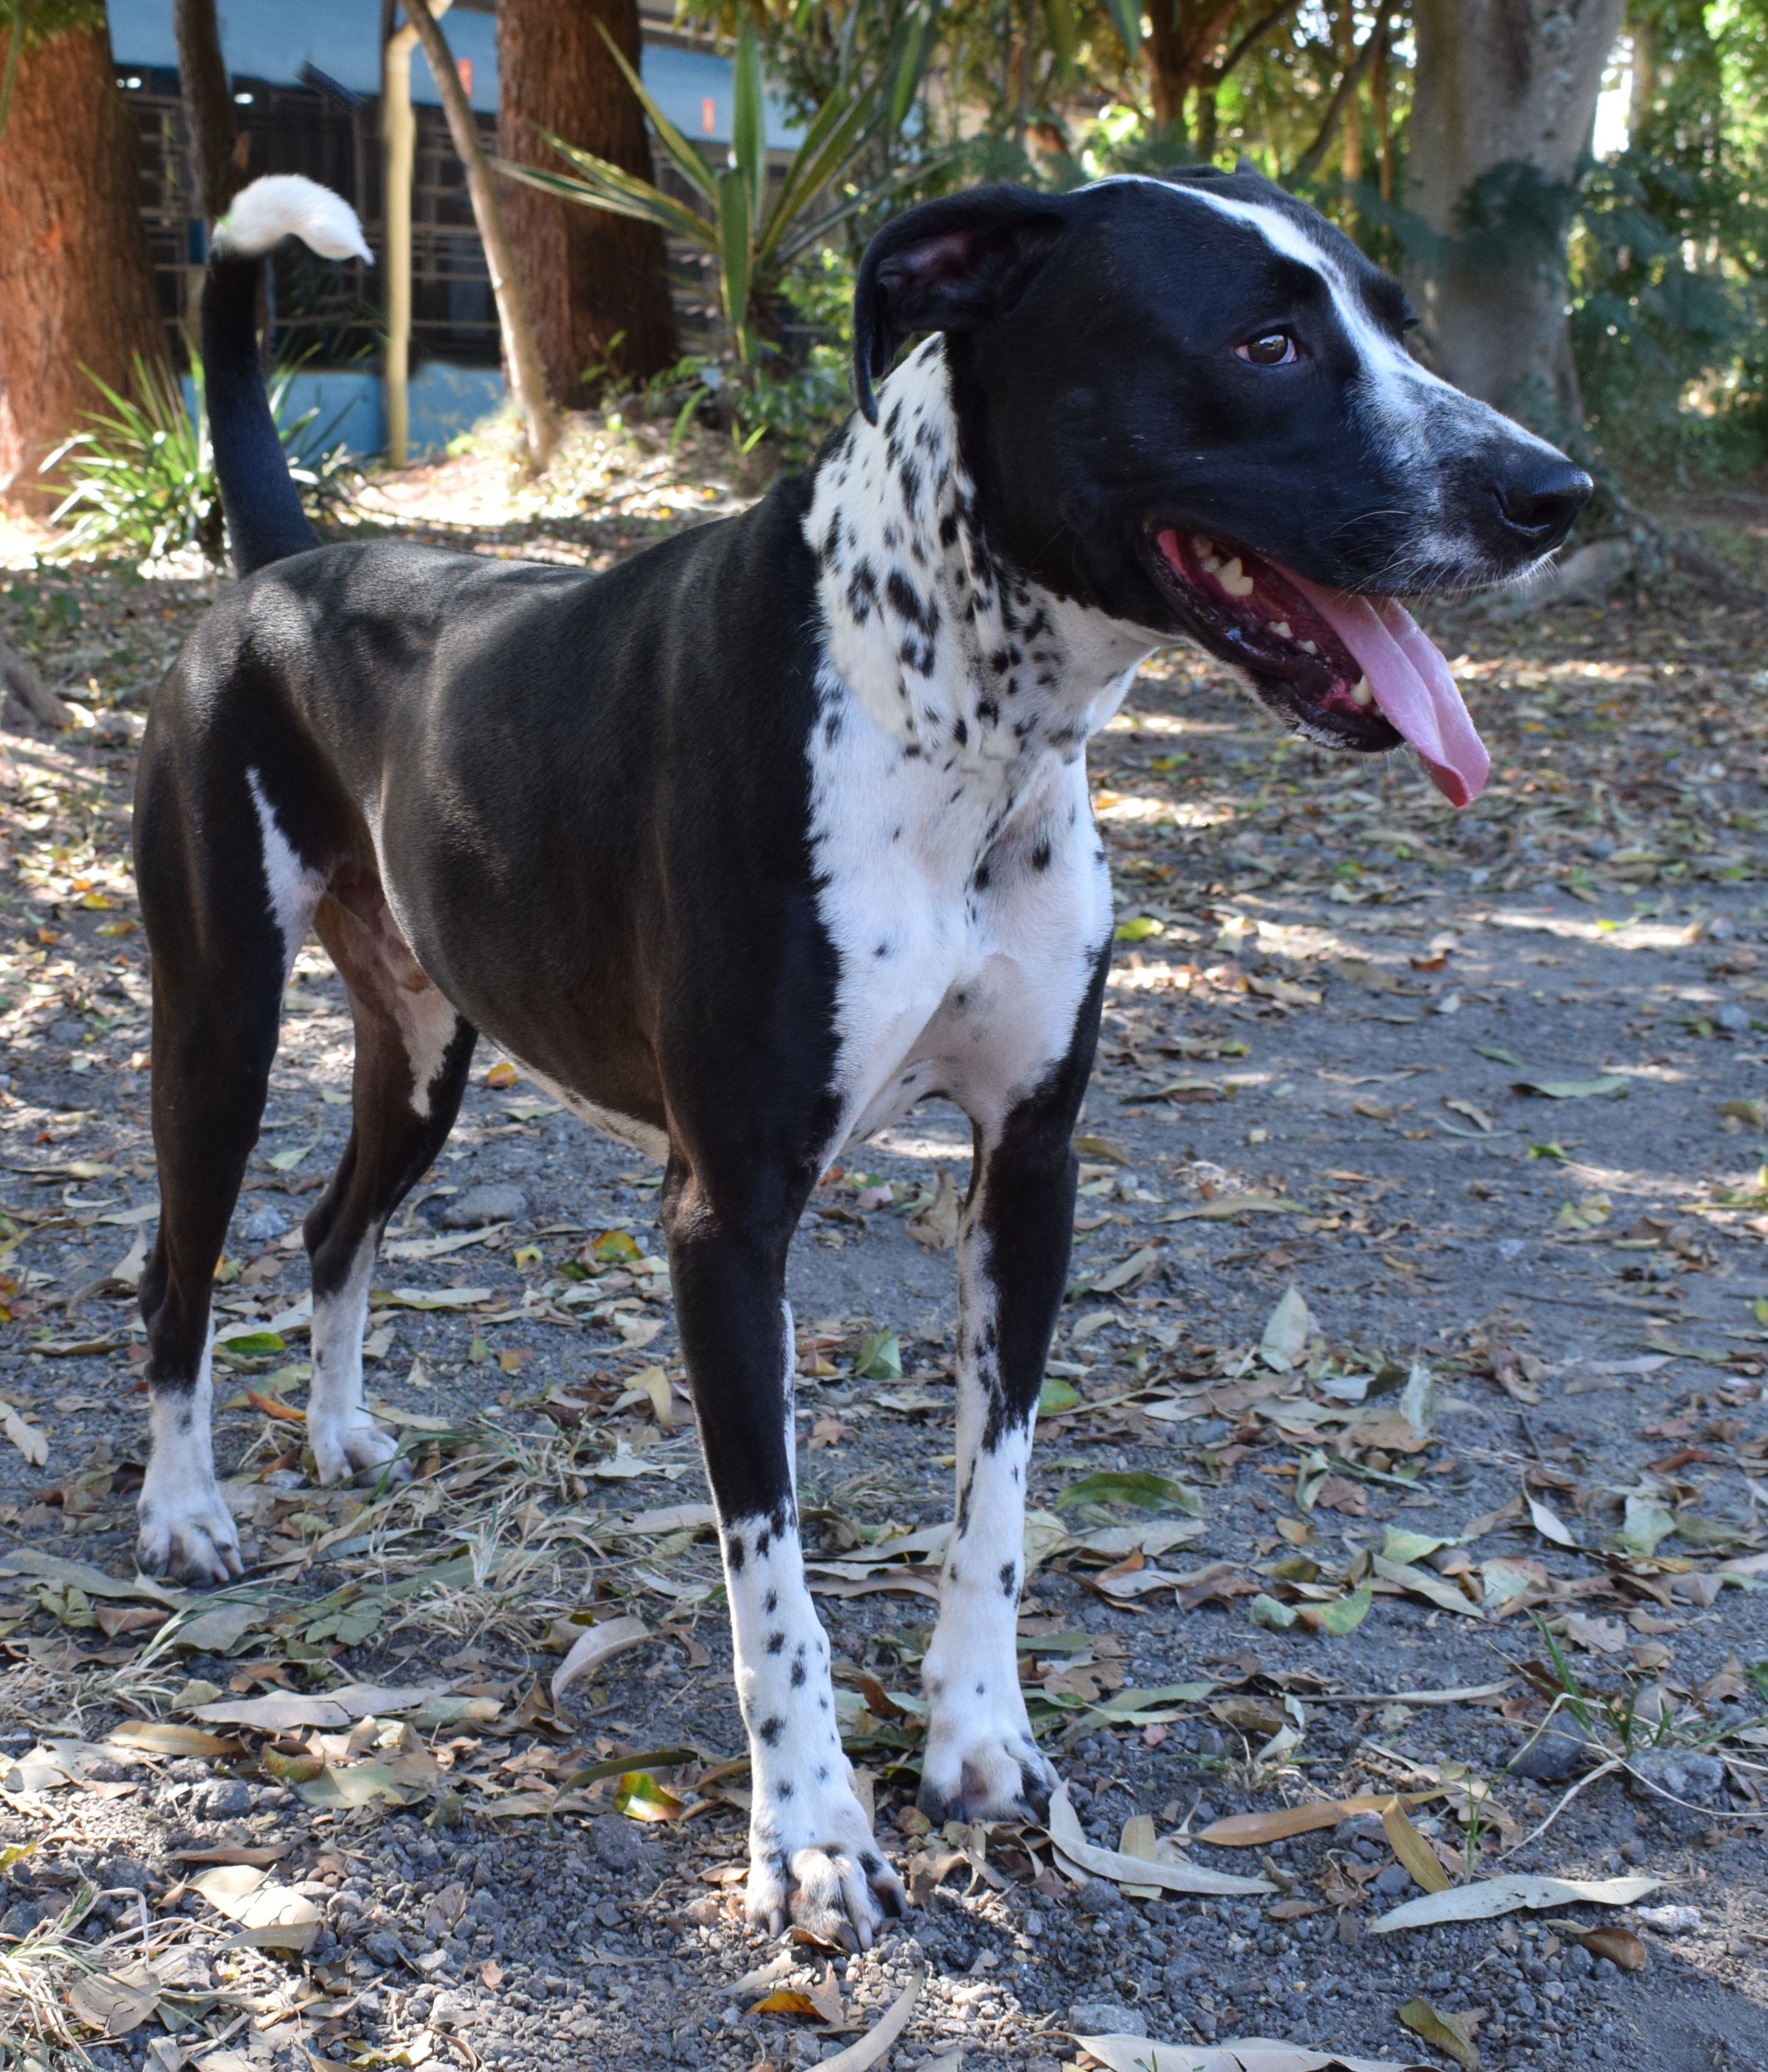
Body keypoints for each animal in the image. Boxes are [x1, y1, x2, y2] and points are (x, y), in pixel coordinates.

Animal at [131, 166, 1583, 1939]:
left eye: (1395, 317)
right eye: (1266, 340)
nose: (1552, 493)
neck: (943, 707)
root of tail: (296, 567)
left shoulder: (1030, 1170)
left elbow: (993, 1500)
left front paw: (976, 1742)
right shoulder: (726, 1219)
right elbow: (772, 1575)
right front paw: (810, 1826)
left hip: (422, 1052)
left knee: (335, 1225)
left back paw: (337, 1431)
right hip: (218, 1026)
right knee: (182, 1271)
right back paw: (185, 1509)